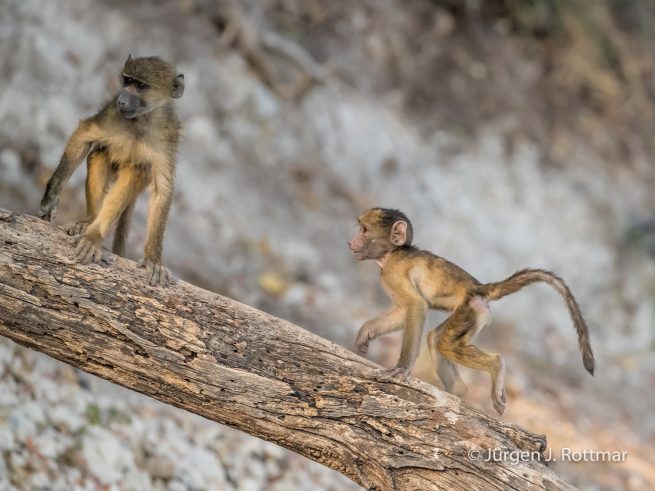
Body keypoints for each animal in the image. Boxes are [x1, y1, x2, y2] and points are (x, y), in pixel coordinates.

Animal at [38, 55, 184, 286]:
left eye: (140, 85)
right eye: (127, 81)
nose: (122, 100)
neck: (141, 119)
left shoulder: (165, 135)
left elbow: (163, 189)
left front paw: (154, 260)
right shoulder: (111, 114)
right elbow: (84, 135)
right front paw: (50, 198)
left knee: (137, 170)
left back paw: (93, 235)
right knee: (100, 153)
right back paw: (89, 224)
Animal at [348, 207, 595, 415]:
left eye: (365, 230)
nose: (350, 242)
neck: (392, 253)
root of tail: (478, 287)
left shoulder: (393, 272)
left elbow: (416, 306)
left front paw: (402, 368)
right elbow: (403, 311)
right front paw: (366, 332)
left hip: (471, 310)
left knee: (446, 343)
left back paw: (496, 366)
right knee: (436, 339)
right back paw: (455, 393)